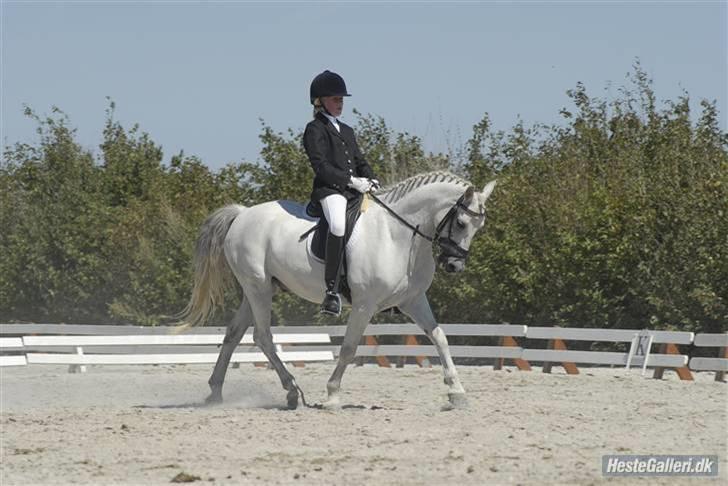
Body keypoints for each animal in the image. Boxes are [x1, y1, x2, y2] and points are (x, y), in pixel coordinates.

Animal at [180, 172, 498, 410]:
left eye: (479, 226)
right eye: (461, 223)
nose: (454, 265)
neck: (396, 235)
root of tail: (243, 214)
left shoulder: (414, 301)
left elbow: (440, 338)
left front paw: (457, 393)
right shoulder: (364, 304)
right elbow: (348, 348)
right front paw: (332, 395)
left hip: (259, 288)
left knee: (234, 334)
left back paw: (216, 392)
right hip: (257, 287)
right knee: (263, 337)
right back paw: (291, 390)